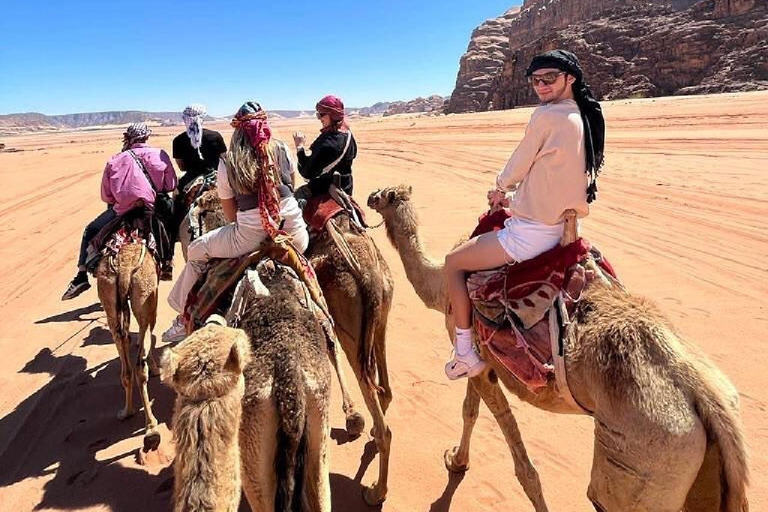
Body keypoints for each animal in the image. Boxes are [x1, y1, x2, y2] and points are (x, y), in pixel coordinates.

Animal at [95, 241, 161, 450]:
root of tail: (123, 268)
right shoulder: (152, 302)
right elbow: (148, 337)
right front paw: (156, 369)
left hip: (108, 299)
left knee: (125, 366)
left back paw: (126, 411)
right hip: (144, 293)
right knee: (140, 364)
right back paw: (151, 427)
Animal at [367, 185, 749, 512]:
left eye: (386, 194)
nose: (370, 196)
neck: (439, 285)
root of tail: (706, 394)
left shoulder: (475, 356)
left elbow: (522, 464)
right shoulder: (481, 361)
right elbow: (469, 410)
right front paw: (457, 461)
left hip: (645, 460)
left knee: (605, 494)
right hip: (703, 471)